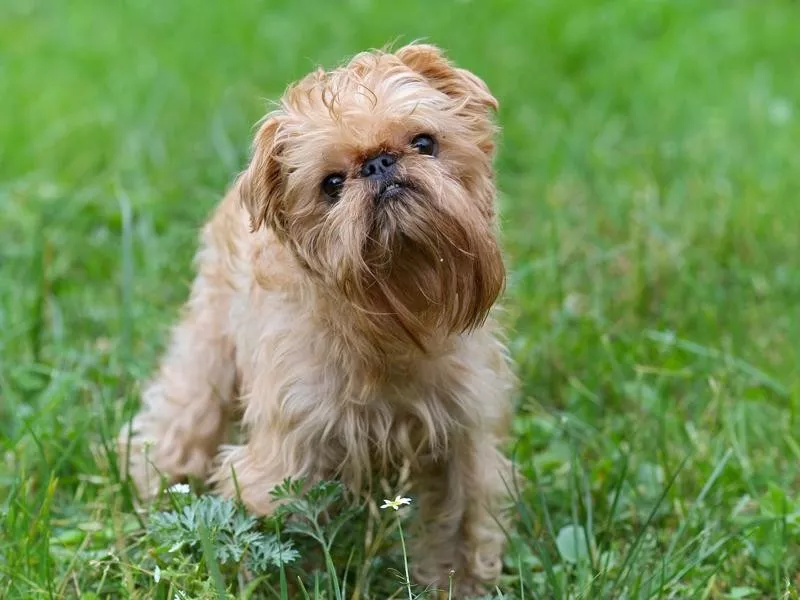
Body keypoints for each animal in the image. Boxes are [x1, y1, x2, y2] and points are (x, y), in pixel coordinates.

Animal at [121, 43, 516, 596]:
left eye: (424, 142)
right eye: (331, 184)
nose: (379, 163)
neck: (391, 319)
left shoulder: (462, 440)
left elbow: (460, 530)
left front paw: (459, 588)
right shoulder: (288, 453)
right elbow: (277, 532)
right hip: (207, 350)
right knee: (177, 421)